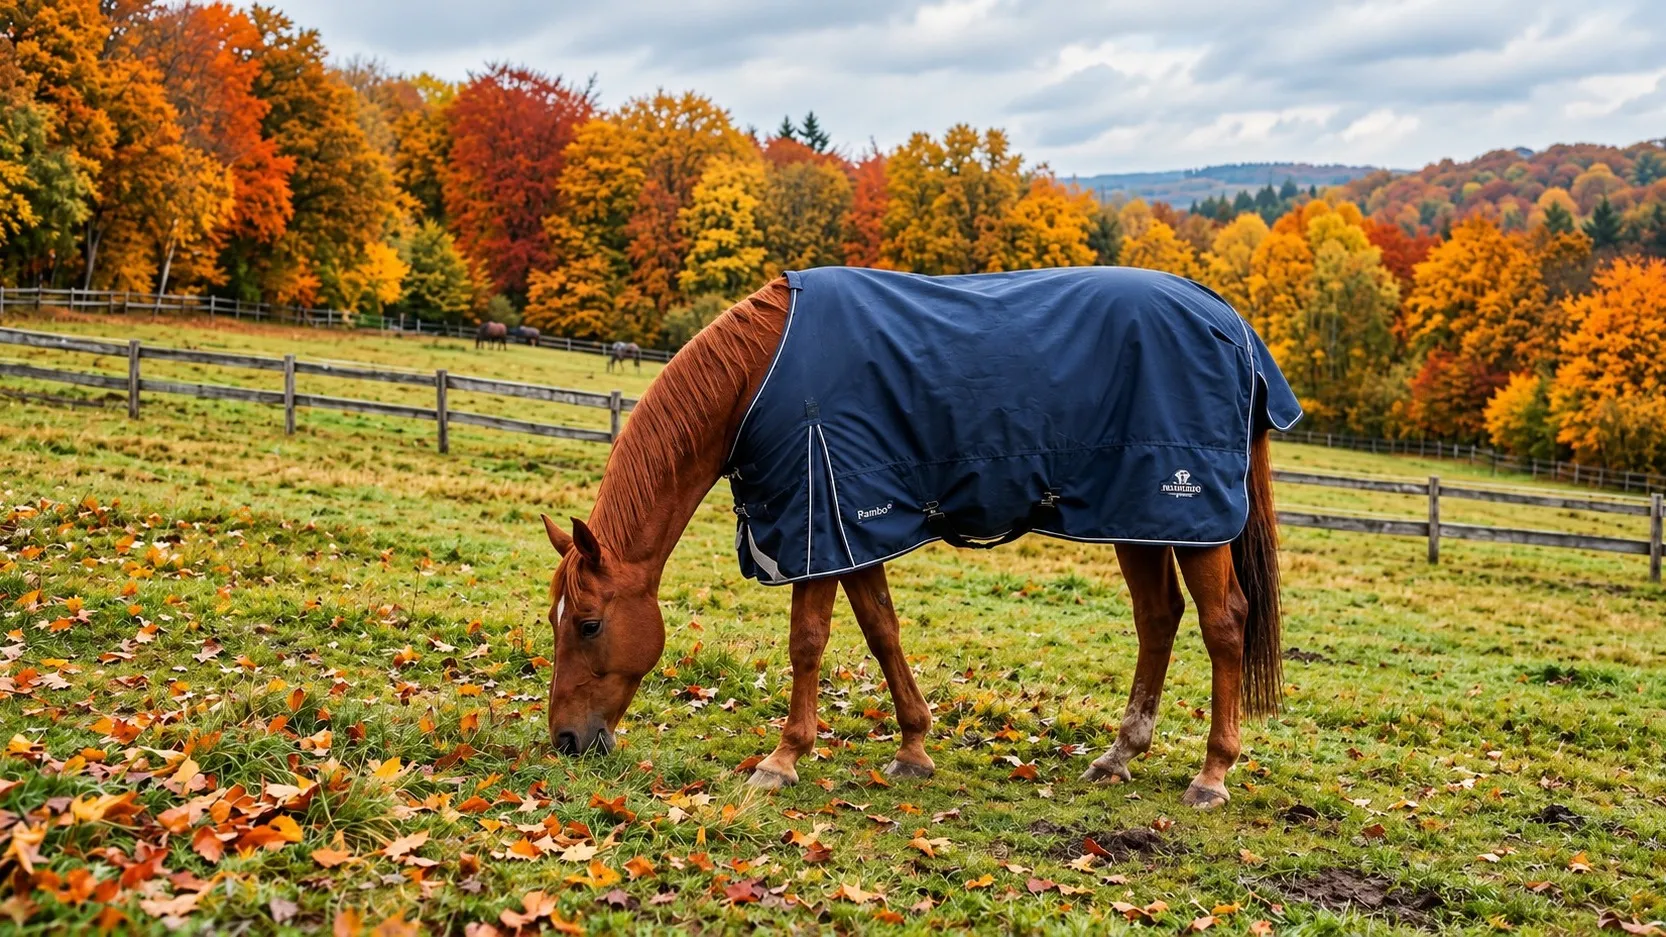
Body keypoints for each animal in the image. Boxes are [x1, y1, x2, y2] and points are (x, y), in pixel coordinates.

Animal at [538, 268, 1295, 810]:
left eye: (589, 622)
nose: (567, 740)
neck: (759, 379)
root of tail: (1230, 323)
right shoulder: (854, 526)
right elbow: (881, 629)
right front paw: (913, 747)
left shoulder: (817, 520)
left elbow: (807, 642)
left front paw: (783, 759)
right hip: (1137, 518)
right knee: (1158, 619)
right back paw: (1120, 754)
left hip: (1191, 517)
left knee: (1224, 624)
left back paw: (1212, 774)